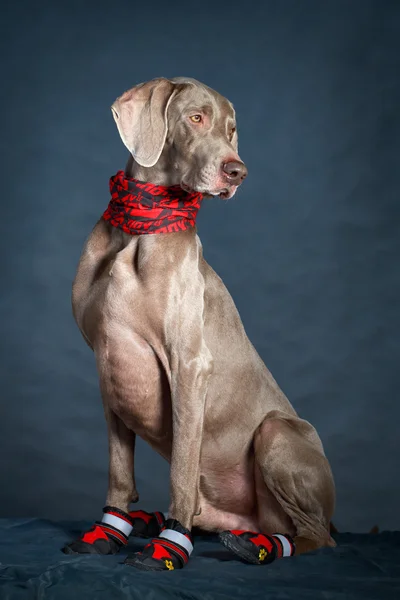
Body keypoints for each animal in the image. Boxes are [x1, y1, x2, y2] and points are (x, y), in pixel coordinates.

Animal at [65, 77, 334, 568]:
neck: (142, 226)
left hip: (277, 433)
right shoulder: (107, 361)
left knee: (316, 534)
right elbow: (118, 467)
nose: (237, 172)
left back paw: (259, 547)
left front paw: (170, 545)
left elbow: (183, 468)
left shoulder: (189, 364)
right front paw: (109, 530)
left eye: (232, 130)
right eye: (195, 118)